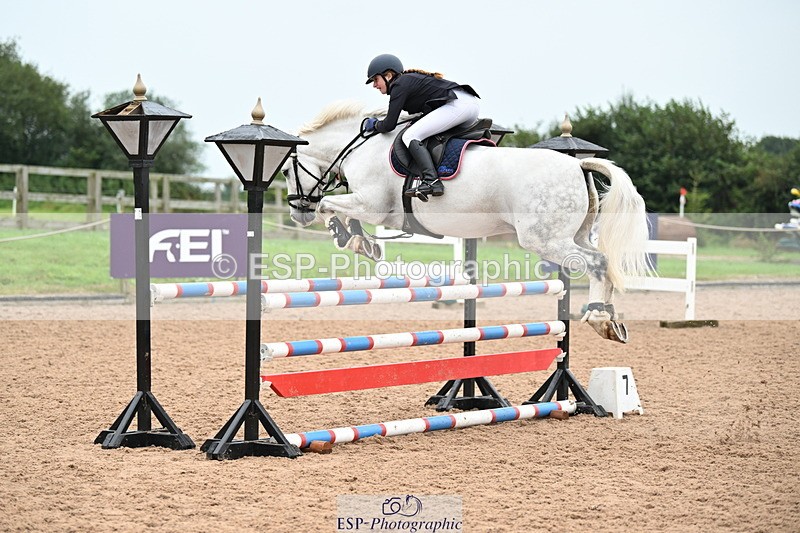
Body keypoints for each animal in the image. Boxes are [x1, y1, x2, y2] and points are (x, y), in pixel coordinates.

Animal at [281, 101, 651, 343]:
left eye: (285, 170)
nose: (298, 213)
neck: (360, 147)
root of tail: (577, 164)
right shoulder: (370, 205)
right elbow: (340, 209)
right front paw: (362, 242)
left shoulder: (373, 205)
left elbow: (332, 206)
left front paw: (351, 238)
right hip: (575, 235)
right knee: (599, 260)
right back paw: (608, 319)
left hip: (544, 240)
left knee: (597, 262)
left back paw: (600, 317)